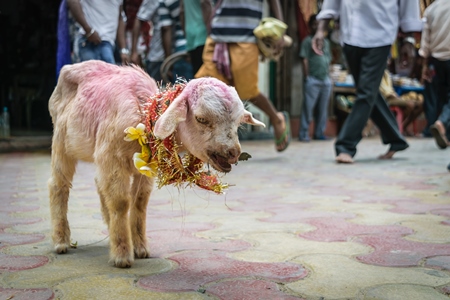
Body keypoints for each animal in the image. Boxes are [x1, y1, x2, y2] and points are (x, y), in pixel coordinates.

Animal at [48, 60, 264, 268]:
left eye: (238, 122)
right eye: (201, 118)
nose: (233, 153)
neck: (144, 114)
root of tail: (71, 66)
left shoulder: (141, 168)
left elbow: (140, 201)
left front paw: (140, 248)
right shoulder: (112, 158)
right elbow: (120, 202)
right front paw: (122, 256)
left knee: (99, 184)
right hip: (61, 141)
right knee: (58, 185)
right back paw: (61, 241)